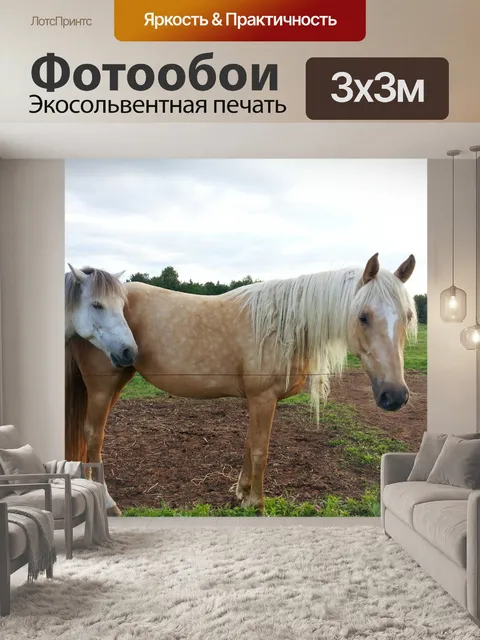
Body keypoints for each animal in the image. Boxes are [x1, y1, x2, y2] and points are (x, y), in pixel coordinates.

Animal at [65, 253, 417, 516]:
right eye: (363, 316)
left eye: (409, 316)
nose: (394, 396)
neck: (284, 326)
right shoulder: (263, 398)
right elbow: (260, 449)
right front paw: (257, 504)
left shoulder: (256, 400)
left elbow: (248, 445)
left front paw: (241, 493)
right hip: (101, 388)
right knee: (93, 437)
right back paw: (107, 502)